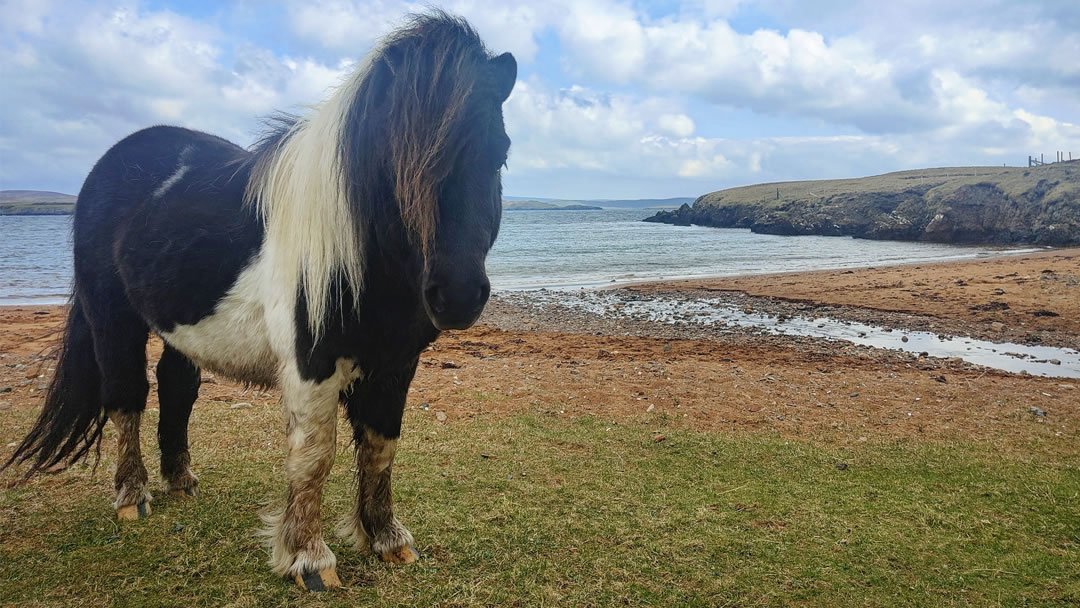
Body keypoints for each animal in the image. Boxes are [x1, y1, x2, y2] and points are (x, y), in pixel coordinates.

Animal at [4, 13, 516, 591]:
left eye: (500, 153)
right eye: (394, 163)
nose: (458, 295)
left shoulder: (396, 364)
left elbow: (381, 448)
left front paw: (386, 538)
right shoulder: (312, 365)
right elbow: (313, 457)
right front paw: (309, 558)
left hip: (181, 326)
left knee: (177, 387)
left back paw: (180, 479)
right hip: (113, 320)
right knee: (125, 398)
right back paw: (133, 496)